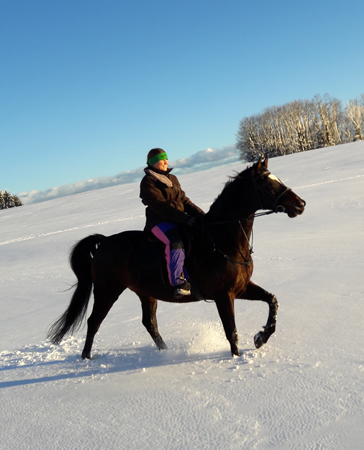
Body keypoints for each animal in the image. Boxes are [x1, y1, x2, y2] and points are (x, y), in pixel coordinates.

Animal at [47, 158, 306, 358]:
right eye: (267, 184)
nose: (300, 204)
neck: (222, 239)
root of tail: (105, 242)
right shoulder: (224, 295)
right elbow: (231, 331)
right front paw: (237, 358)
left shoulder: (241, 288)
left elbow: (272, 300)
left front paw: (261, 337)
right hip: (106, 291)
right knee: (94, 322)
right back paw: (86, 358)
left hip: (145, 292)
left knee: (149, 324)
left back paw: (165, 351)